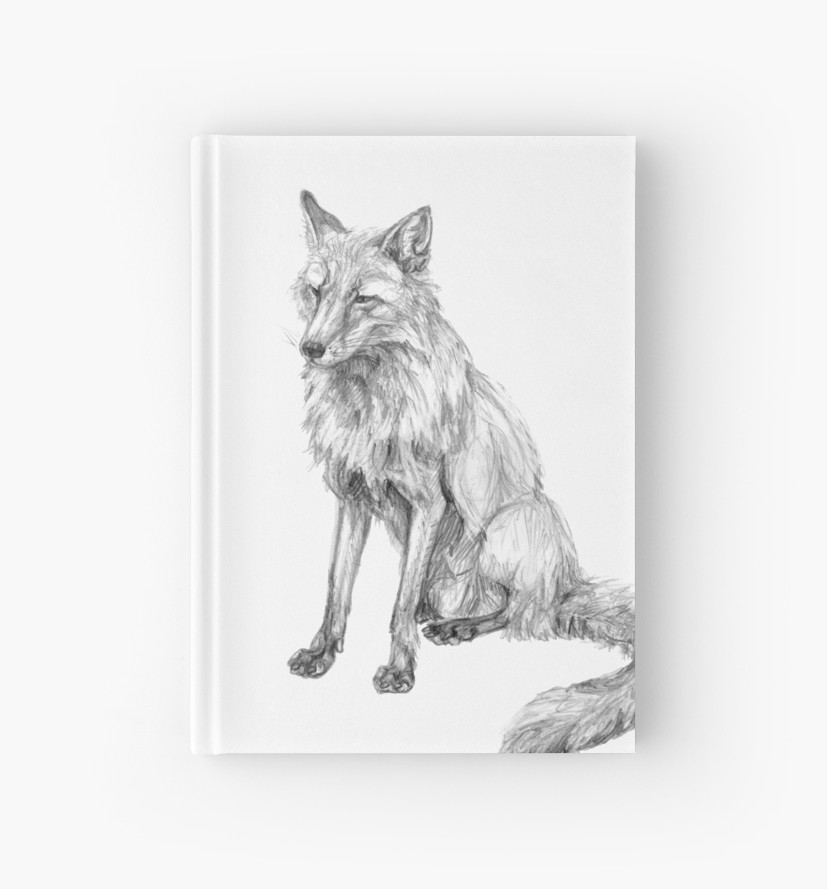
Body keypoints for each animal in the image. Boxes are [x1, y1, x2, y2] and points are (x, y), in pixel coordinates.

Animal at [287, 190, 635, 753]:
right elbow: (337, 591)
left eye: (363, 299)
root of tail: (568, 583)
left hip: (508, 528)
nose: (310, 349)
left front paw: (400, 671)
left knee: (524, 614)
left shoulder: (429, 503)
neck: (370, 400)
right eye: (317, 292)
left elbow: (397, 606)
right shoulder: (351, 500)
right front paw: (323, 654)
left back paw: (463, 628)